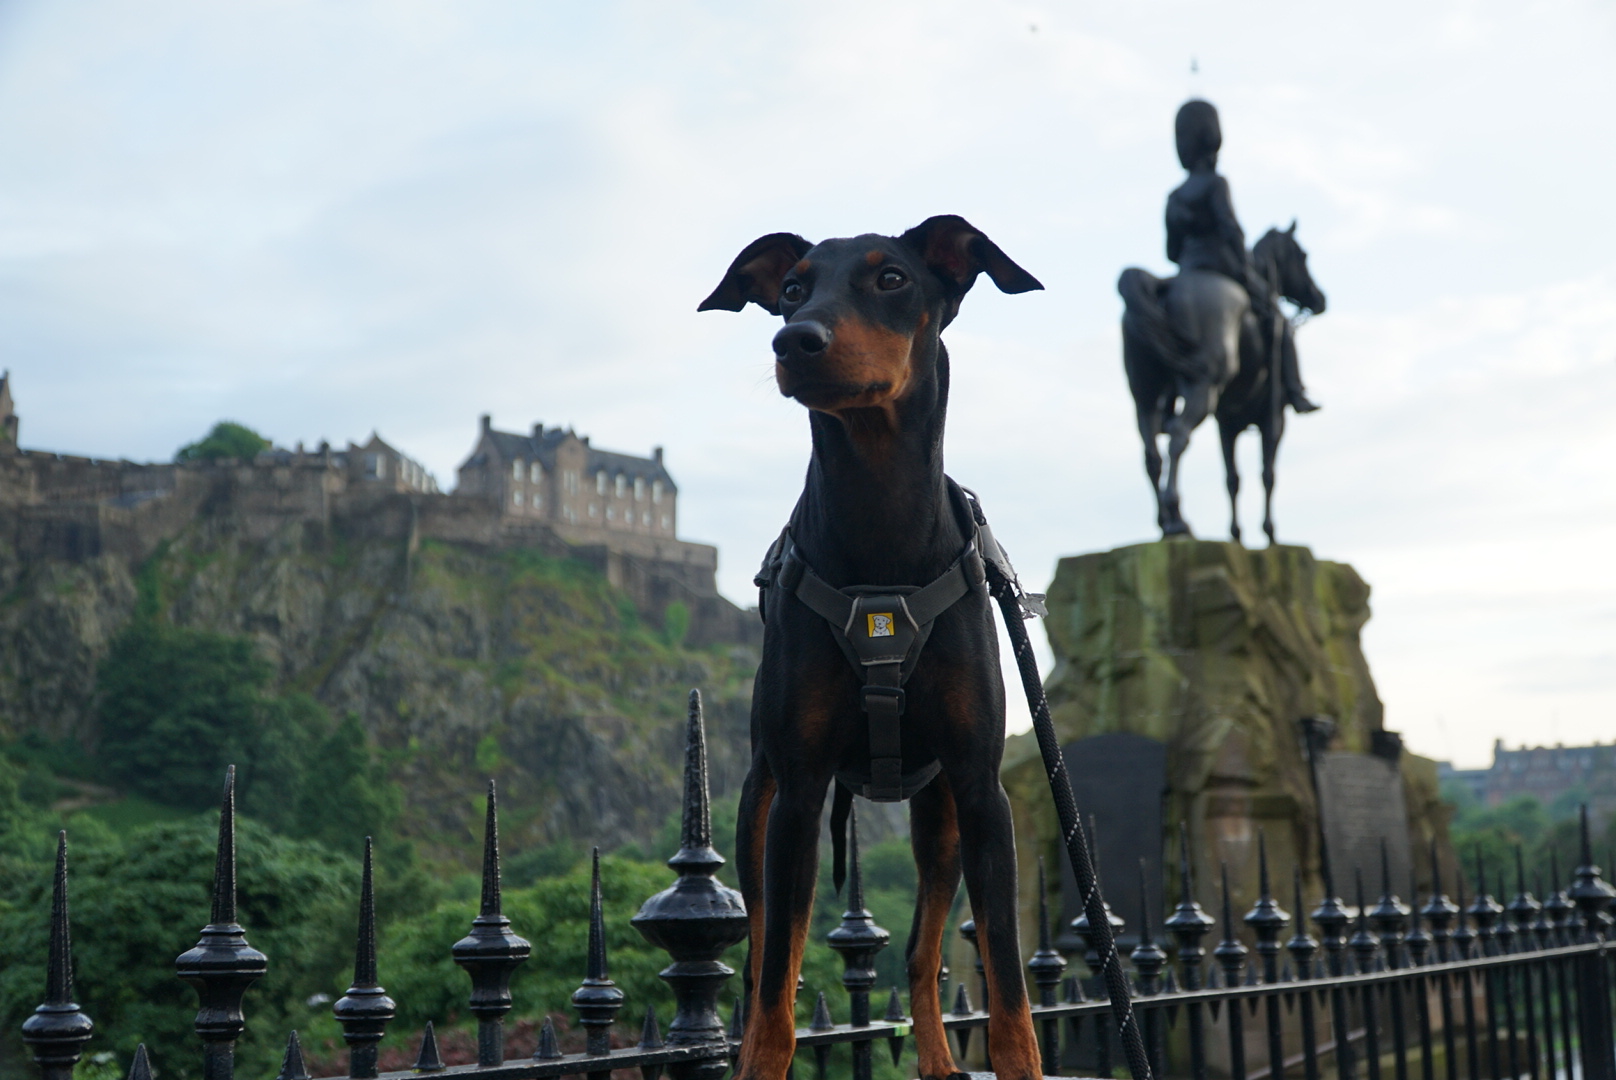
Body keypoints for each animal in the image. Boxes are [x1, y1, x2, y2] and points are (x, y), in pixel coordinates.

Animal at [704, 216, 1047, 1080]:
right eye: (792, 287)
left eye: (891, 278)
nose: (796, 339)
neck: (880, 516)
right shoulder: (797, 793)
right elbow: (775, 991)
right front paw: (761, 1055)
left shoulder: (983, 791)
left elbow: (1008, 987)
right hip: (758, 802)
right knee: (764, 955)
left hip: (942, 819)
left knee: (923, 952)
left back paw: (937, 1059)